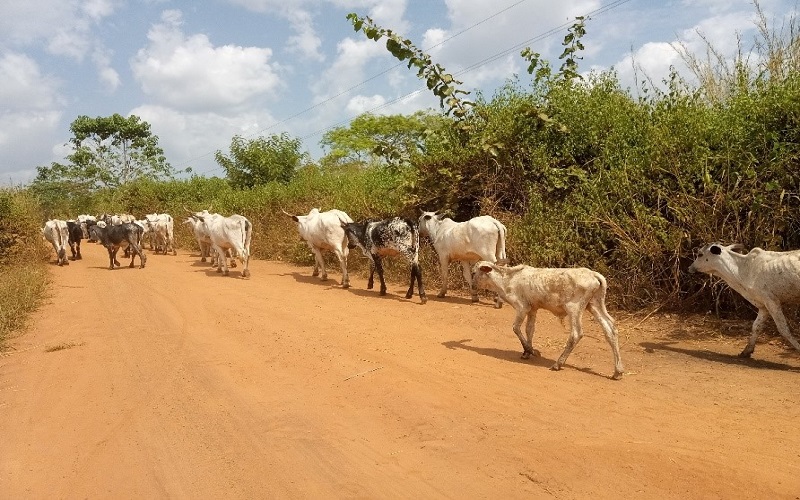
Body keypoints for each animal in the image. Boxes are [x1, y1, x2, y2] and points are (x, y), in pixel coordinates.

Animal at [476, 262, 624, 378]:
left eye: (474, 272)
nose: (472, 284)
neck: (508, 279)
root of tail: (594, 275)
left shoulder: (522, 307)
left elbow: (516, 328)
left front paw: (532, 351)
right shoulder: (533, 308)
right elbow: (529, 329)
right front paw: (526, 353)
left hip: (574, 308)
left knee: (576, 334)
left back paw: (558, 363)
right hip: (594, 304)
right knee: (610, 329)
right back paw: (618, 371)